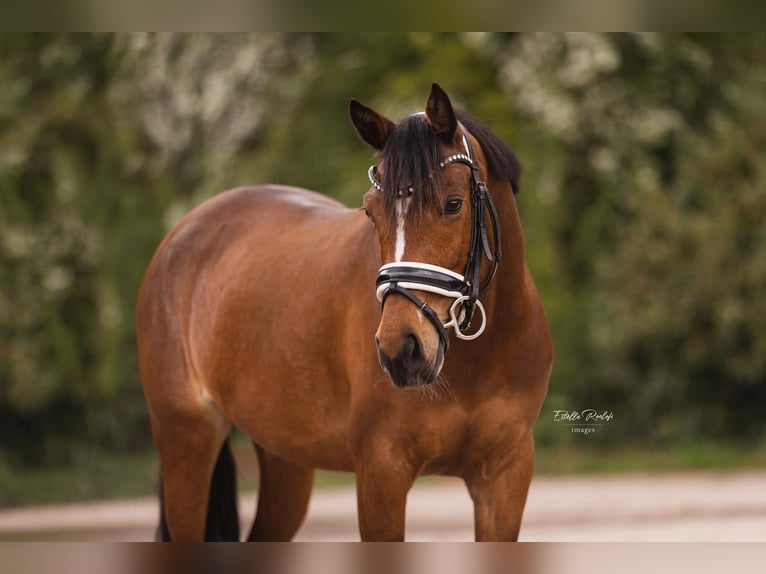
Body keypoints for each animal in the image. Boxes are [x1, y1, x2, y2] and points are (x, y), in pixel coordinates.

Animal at [138, 83, 556, 544]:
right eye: (371, 210)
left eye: (452, 204)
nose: (401, 350)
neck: (478, 360)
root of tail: (183, 232)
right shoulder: (381, 471)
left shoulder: (505, 477)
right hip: (187, 443)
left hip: (285, 458)